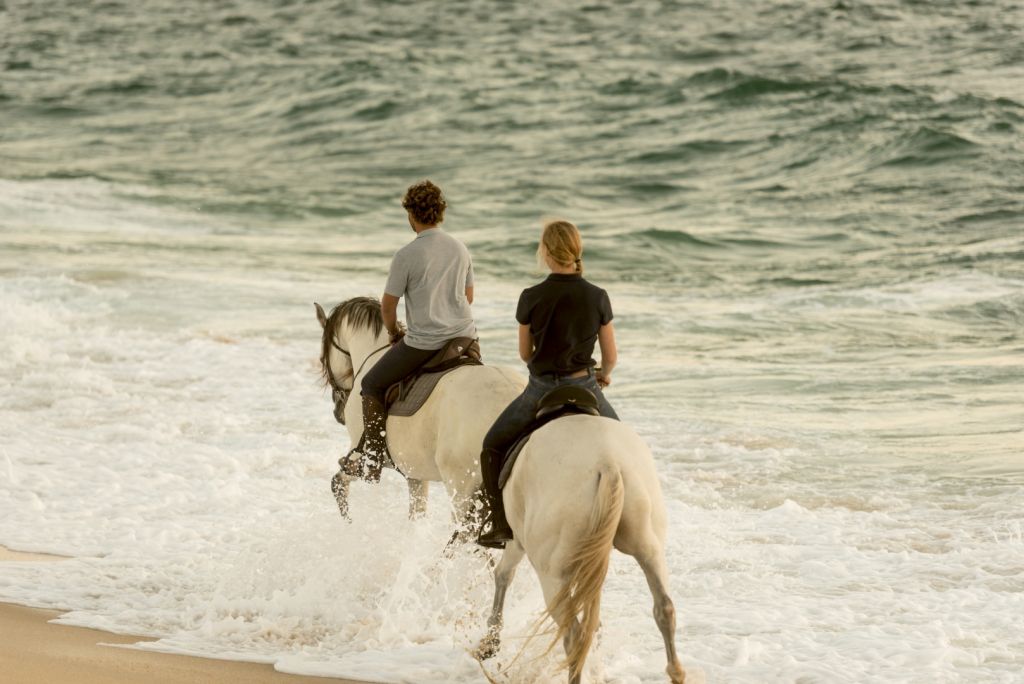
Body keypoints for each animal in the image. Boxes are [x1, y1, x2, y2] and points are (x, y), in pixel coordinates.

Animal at [315, 298, 528, 528]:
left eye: (322, 360)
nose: (338, 413)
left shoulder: (359, 454)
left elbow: (338, 484)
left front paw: (349, 524)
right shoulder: (415, 474)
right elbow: (416, 515)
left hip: (463, 489)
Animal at [479, 413, 688, 679]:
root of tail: (608, 463)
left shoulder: (516, 540)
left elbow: (503, 575)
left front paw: (490, 641)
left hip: (553, 577)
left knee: (573, 636)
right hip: (649, 550)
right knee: (665, 609)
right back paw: (676, 672)